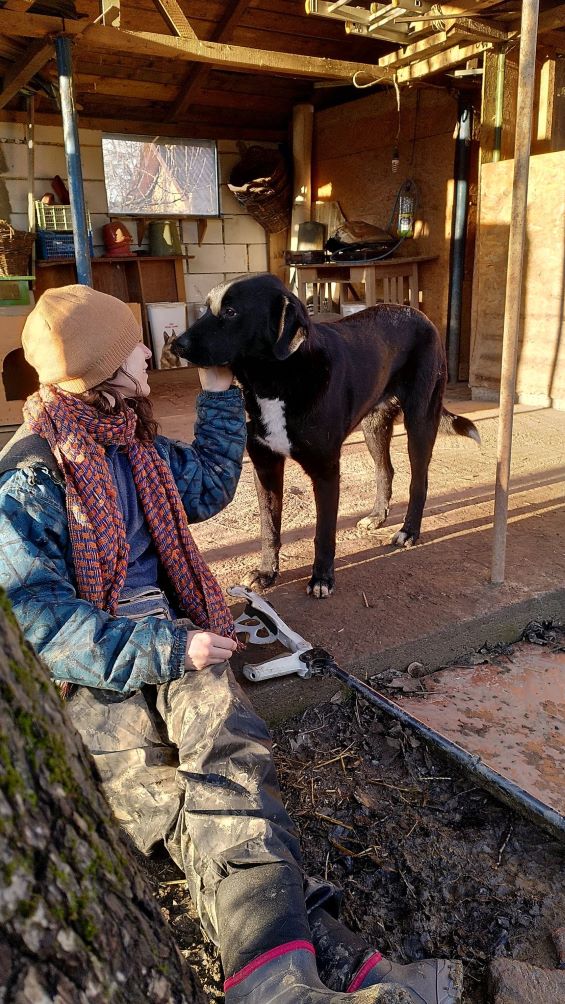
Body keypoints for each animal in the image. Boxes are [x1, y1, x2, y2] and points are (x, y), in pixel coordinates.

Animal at [174, 275, 479, 594]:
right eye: (205, 308)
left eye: (231, 312)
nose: (176, 345)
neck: (275, 381)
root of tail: (420, 315)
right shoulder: (265, 465)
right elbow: (269, 527)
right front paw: (267, 572)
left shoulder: (326, 471)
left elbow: (324, 531)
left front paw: (321, 577)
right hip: (374, 426)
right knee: (386, 471)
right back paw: (377, 516)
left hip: (420, 421)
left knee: (419, 480)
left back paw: (408, 531)